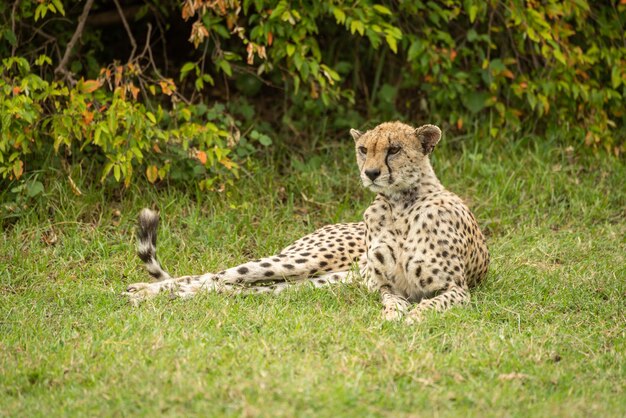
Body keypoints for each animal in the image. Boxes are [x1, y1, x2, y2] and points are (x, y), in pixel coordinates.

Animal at [123, 121, 488, 324]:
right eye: (363, 148)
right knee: (217, 276)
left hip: (313, 282)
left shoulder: (456, 288)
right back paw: (141, 292)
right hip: (302, 260)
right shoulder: (386, 285)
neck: (399, 205)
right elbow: (392, 300)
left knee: (233, 288)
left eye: (394, 149)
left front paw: (413, 317)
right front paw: (395, 315)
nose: (371, 173)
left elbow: (432, 303)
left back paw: (149, 296)